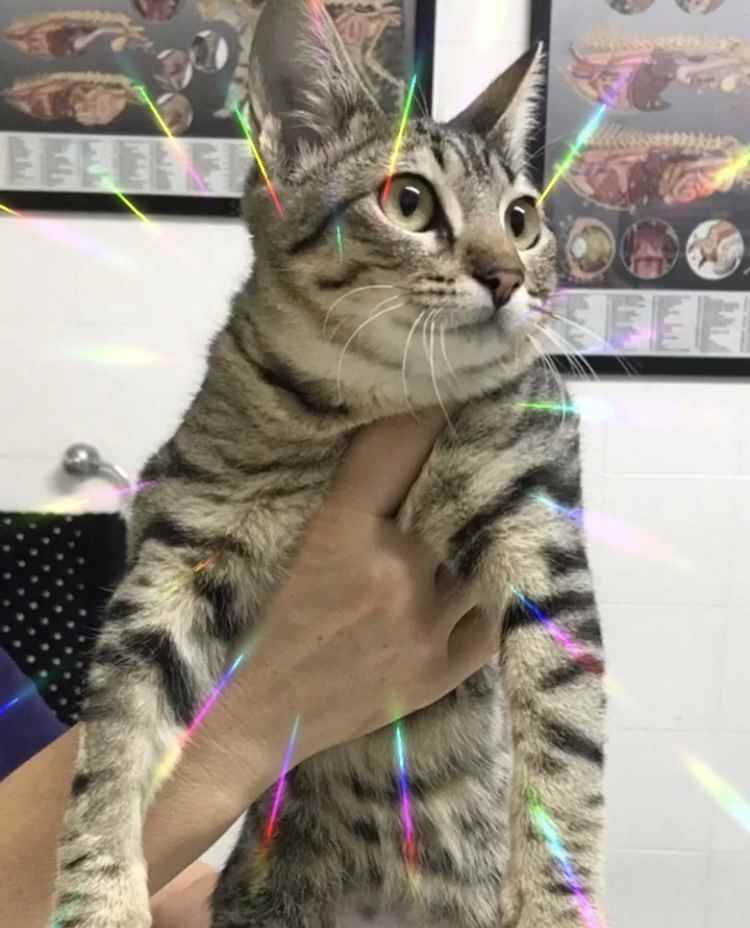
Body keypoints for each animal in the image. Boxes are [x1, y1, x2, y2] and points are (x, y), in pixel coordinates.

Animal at [50, 1, 606, 926]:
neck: (364, 408)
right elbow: (114, 733)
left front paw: (556, 906)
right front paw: (95, 894)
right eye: (409, 201)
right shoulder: (183, 532)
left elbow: (566, 755)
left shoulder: (538, 519)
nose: (507, 274)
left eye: (524, 219)